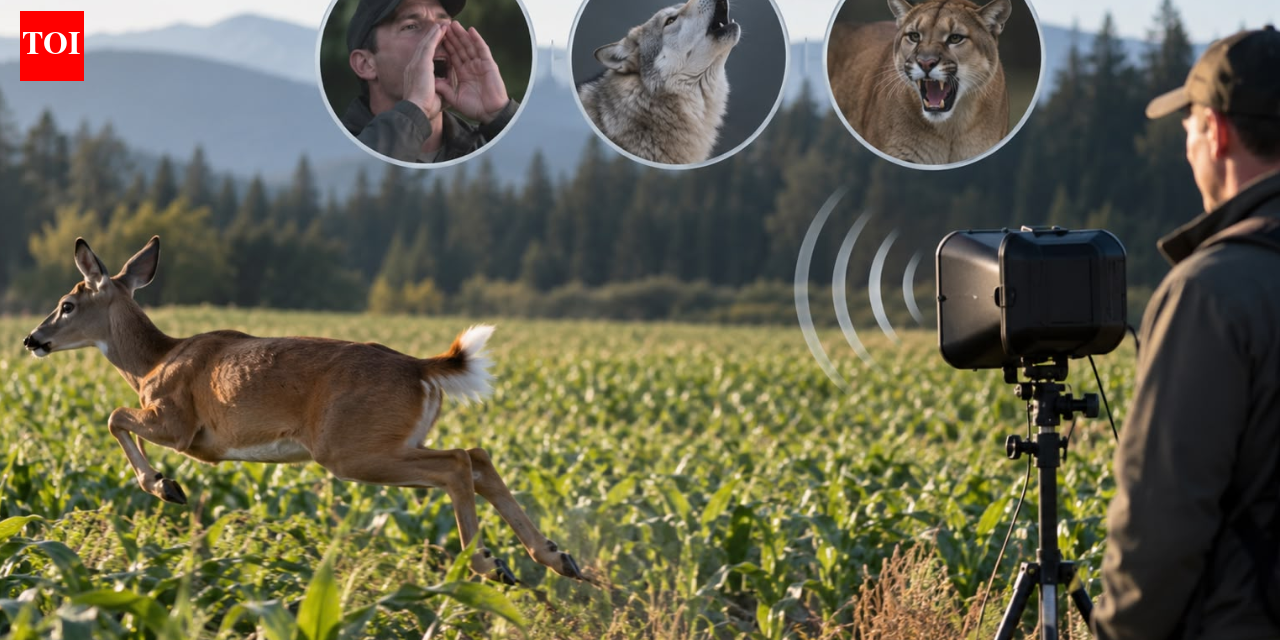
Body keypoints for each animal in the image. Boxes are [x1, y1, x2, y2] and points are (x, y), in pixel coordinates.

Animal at [21, 236, 584, 585]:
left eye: (67, 305)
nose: (32, 339)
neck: (151, 364)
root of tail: (421, 368)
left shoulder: (181, 425)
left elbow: (114, 416)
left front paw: (165, 485)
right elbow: (117, 418)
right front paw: (166, 484)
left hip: (350, 448)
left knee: (457, 463)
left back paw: (489, 565)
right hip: (394, 437)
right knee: (478, 455)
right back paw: (556, 558)